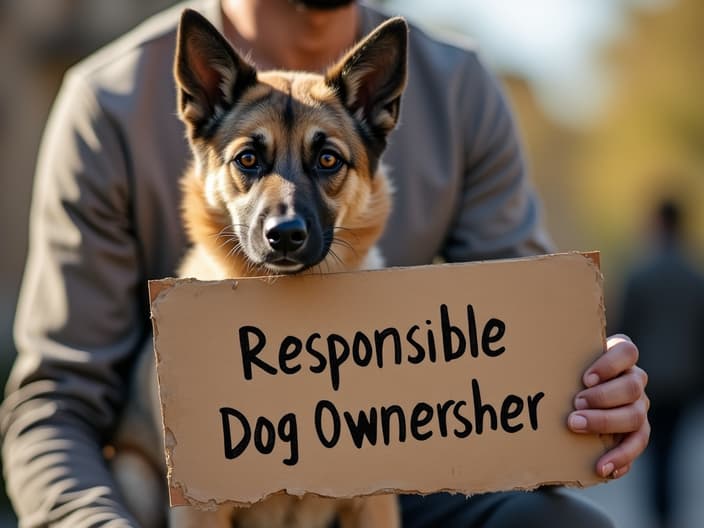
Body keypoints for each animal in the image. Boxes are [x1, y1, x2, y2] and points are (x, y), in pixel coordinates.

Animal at [110, 8, 408, 528]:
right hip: (135, 476)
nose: (284, 235)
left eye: (327, 159)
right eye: (248, 158)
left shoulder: (375, 501)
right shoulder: (199, 510)